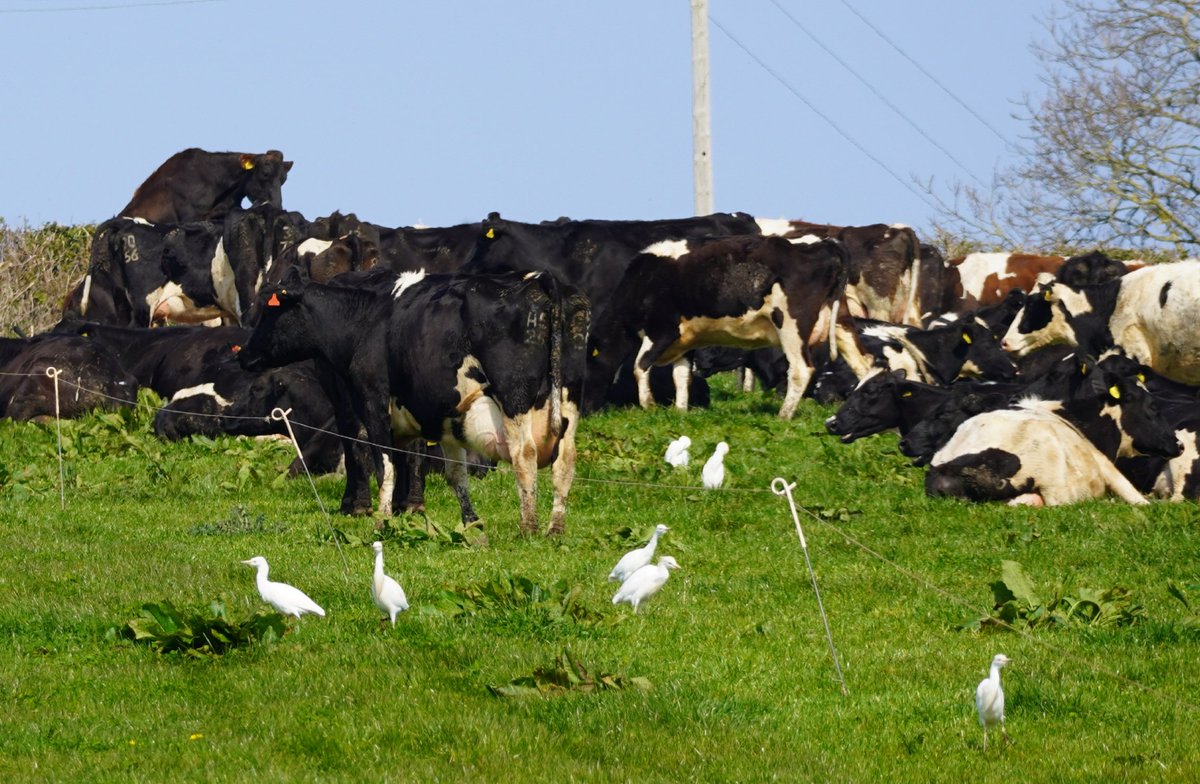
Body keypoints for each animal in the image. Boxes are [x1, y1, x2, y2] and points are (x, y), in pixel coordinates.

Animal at [238, 266, 590, 537]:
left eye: (270, 309)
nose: (244, 353)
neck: (367, 319)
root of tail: (541, 279)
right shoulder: (438, 413)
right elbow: (445, 470)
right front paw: (462, 522)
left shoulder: (373, 400)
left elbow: (384, 461)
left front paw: (382, 519)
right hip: (568, 402)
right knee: (565, 462)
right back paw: (555, 529)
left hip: (514, 399)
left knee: (524, 455)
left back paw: (528, 527)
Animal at [584, 234, 848, 419]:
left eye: (586, 370)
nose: (587, 412)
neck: (643, 281)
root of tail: (826, 243)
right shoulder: (683, 341)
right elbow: (681, 376)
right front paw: (680, 411)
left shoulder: (662, 331)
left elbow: (640, 366)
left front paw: (649, 405)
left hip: (791, 324)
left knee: (800, 369)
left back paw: (783, 415)